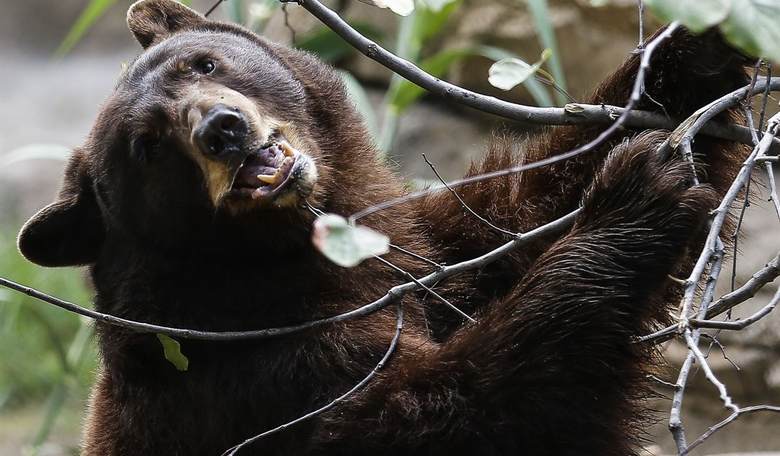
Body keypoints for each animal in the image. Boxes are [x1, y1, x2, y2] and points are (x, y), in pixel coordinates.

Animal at [16, 0, 750, 454]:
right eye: (146, 145)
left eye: (201, 63)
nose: (222, 129)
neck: (292, 252)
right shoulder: (254, 369)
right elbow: (436, 412)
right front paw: (636, 193)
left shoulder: (416, 250)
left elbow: (518, 212)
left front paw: (698, 47)